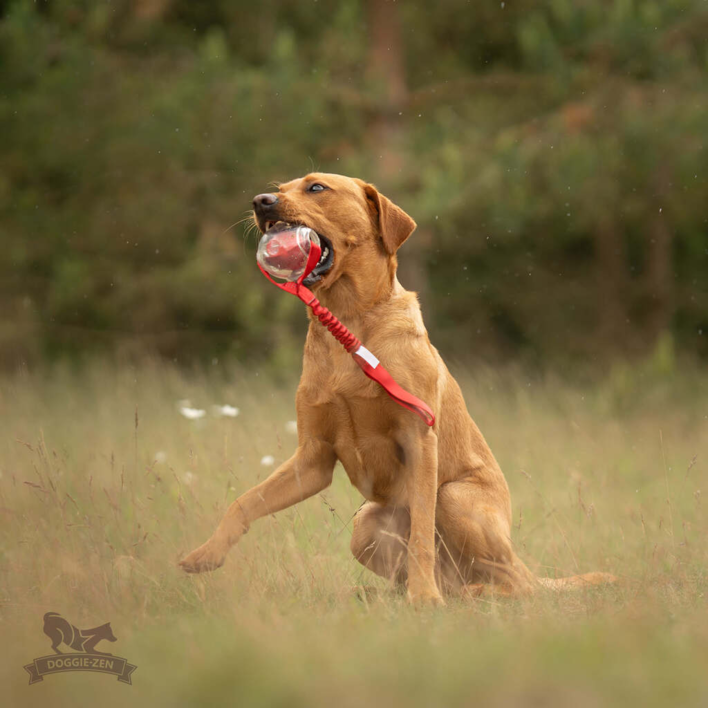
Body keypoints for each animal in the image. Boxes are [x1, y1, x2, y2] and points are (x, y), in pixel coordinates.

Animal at [180, 173, 616, 604]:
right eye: (279, 187)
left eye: (316, 187)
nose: (260, 201)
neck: (349, 320)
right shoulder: (313, 457)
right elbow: (244, 501)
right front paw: (205, 554)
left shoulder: (419, 440)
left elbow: (421, 530)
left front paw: (424, 599)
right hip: (365, 522)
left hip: (454, 498)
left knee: (518, 582)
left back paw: (468, 592)